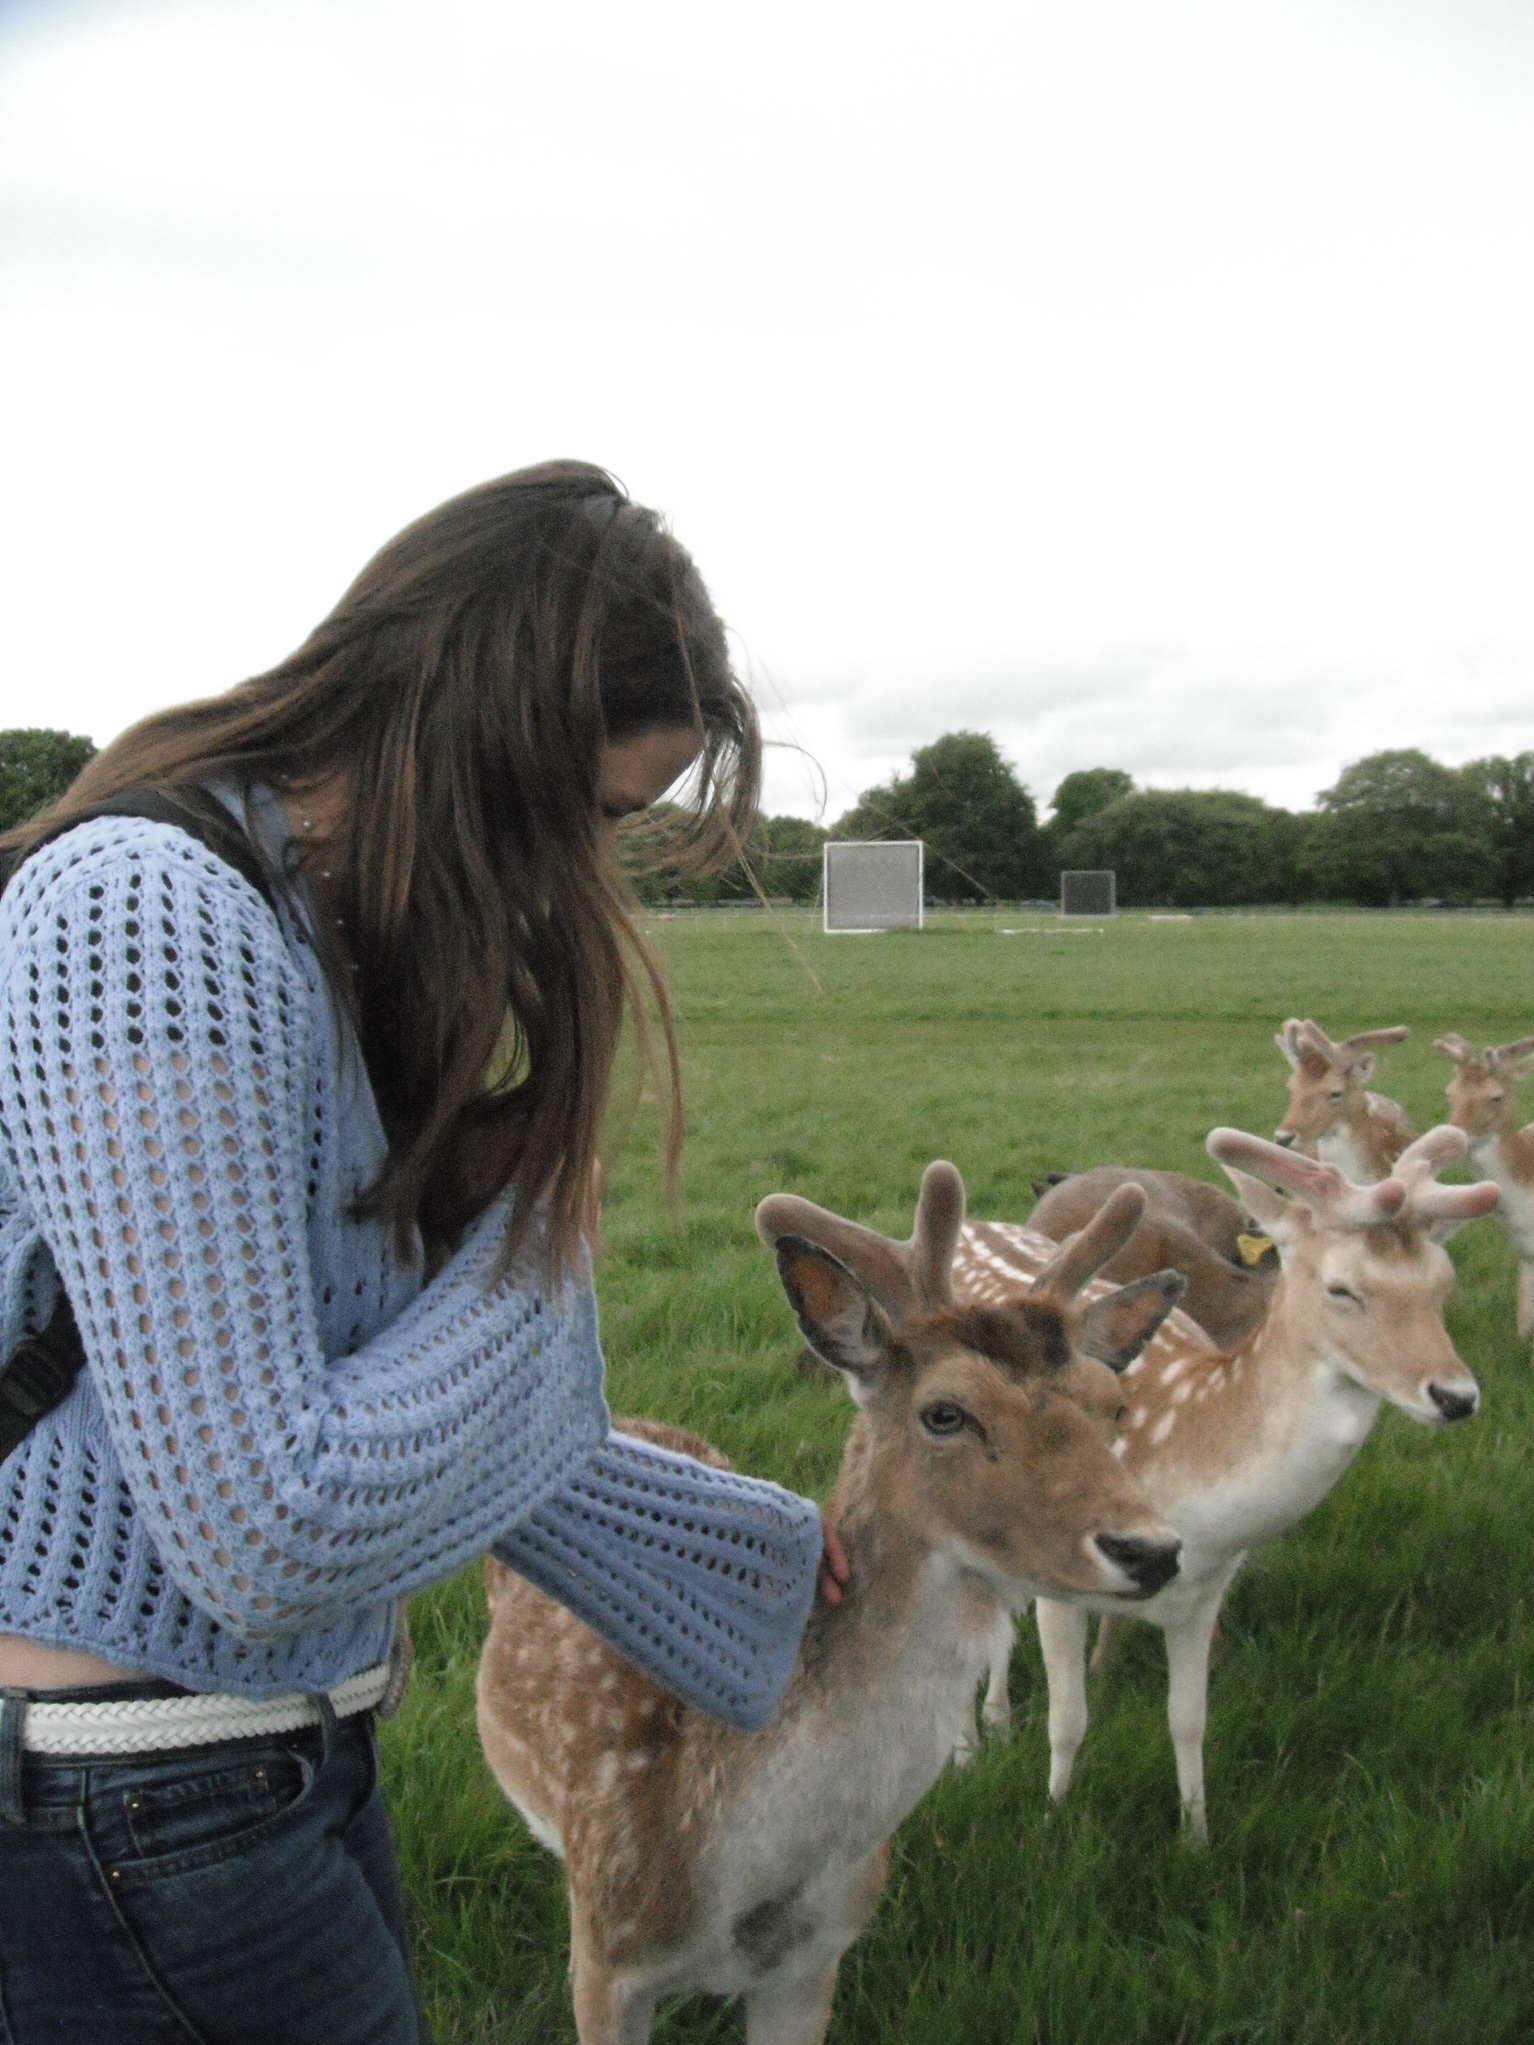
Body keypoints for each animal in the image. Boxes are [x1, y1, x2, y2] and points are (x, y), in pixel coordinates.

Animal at [952, 1126, 1497, 1842]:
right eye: (1341, 1289)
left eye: (1443, 1284)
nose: (1456, 1397)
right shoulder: (1065, 1580)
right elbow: (1067, 1720)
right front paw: (1051, 1822)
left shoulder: (1204, 1595)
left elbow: (1189, 1721)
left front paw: (1196, 1838)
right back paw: (973, 1736)